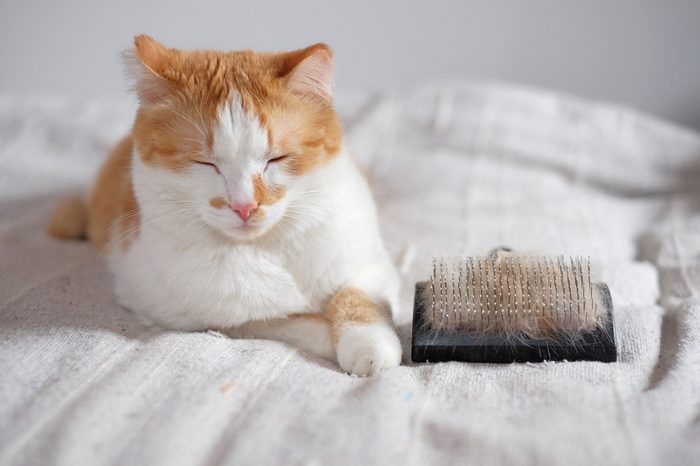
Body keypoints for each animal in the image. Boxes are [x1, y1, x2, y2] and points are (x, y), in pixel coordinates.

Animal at [46, 34, 402, 376]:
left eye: (276, 158)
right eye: (205, 163)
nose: (244, 206)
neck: (268, 248)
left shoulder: (371, 261)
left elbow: (355, 294)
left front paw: (367, 340)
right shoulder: (192, 315)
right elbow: (285, 321)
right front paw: (331, 336)